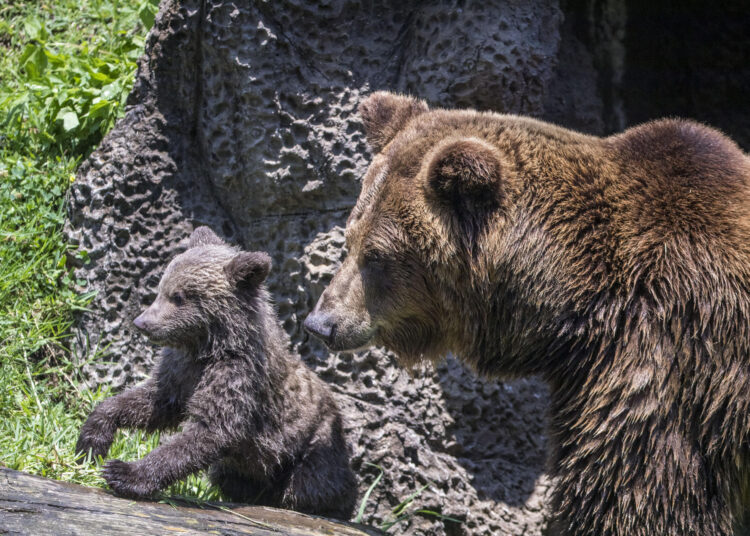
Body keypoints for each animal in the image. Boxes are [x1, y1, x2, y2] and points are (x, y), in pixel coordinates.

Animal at [77, 226, 357, 519]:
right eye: (161, 288)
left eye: (179, 296)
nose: (142, 323)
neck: (207, 347)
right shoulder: (180, 372)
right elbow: (153, 403)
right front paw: (92, 440)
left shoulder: (237, 377)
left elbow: (210, 431)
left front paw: (124, 472)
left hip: (314, 446)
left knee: (310, 484)